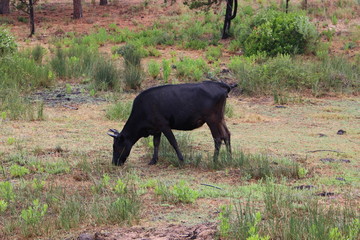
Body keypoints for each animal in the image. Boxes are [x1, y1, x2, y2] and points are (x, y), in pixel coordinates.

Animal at [107, 80, 236, 165]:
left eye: (116, 146)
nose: (114, 163)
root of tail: (221, 85)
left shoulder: (164, 125)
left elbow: (173, 142)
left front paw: (181, 160)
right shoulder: (156, 129)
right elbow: (156, 143)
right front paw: (153, 160)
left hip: (212, 119)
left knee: (218, 138)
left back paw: (214, 160)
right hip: (220, 118)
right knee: (227, 135)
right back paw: (229, 158)